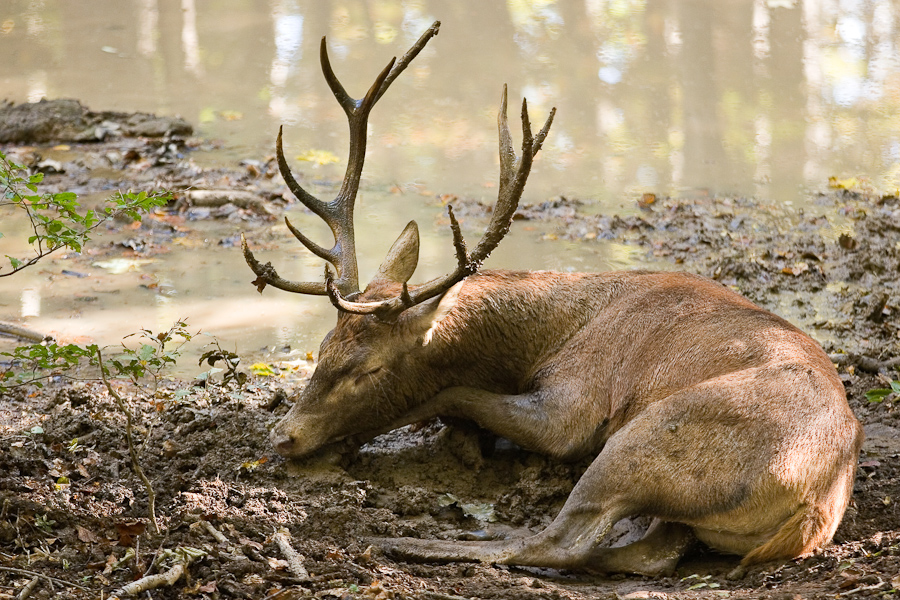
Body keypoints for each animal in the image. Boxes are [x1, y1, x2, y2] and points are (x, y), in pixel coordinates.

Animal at [241, 22, 864, 576]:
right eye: (322, 347)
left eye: (366, 369)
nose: (284, 436)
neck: (545, 338)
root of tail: (815, 509)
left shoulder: (573, 407)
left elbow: (454, 393)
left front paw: (449, 439)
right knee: (650, 553)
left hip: (649, 434)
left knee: (561, 543)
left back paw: (406, 540)